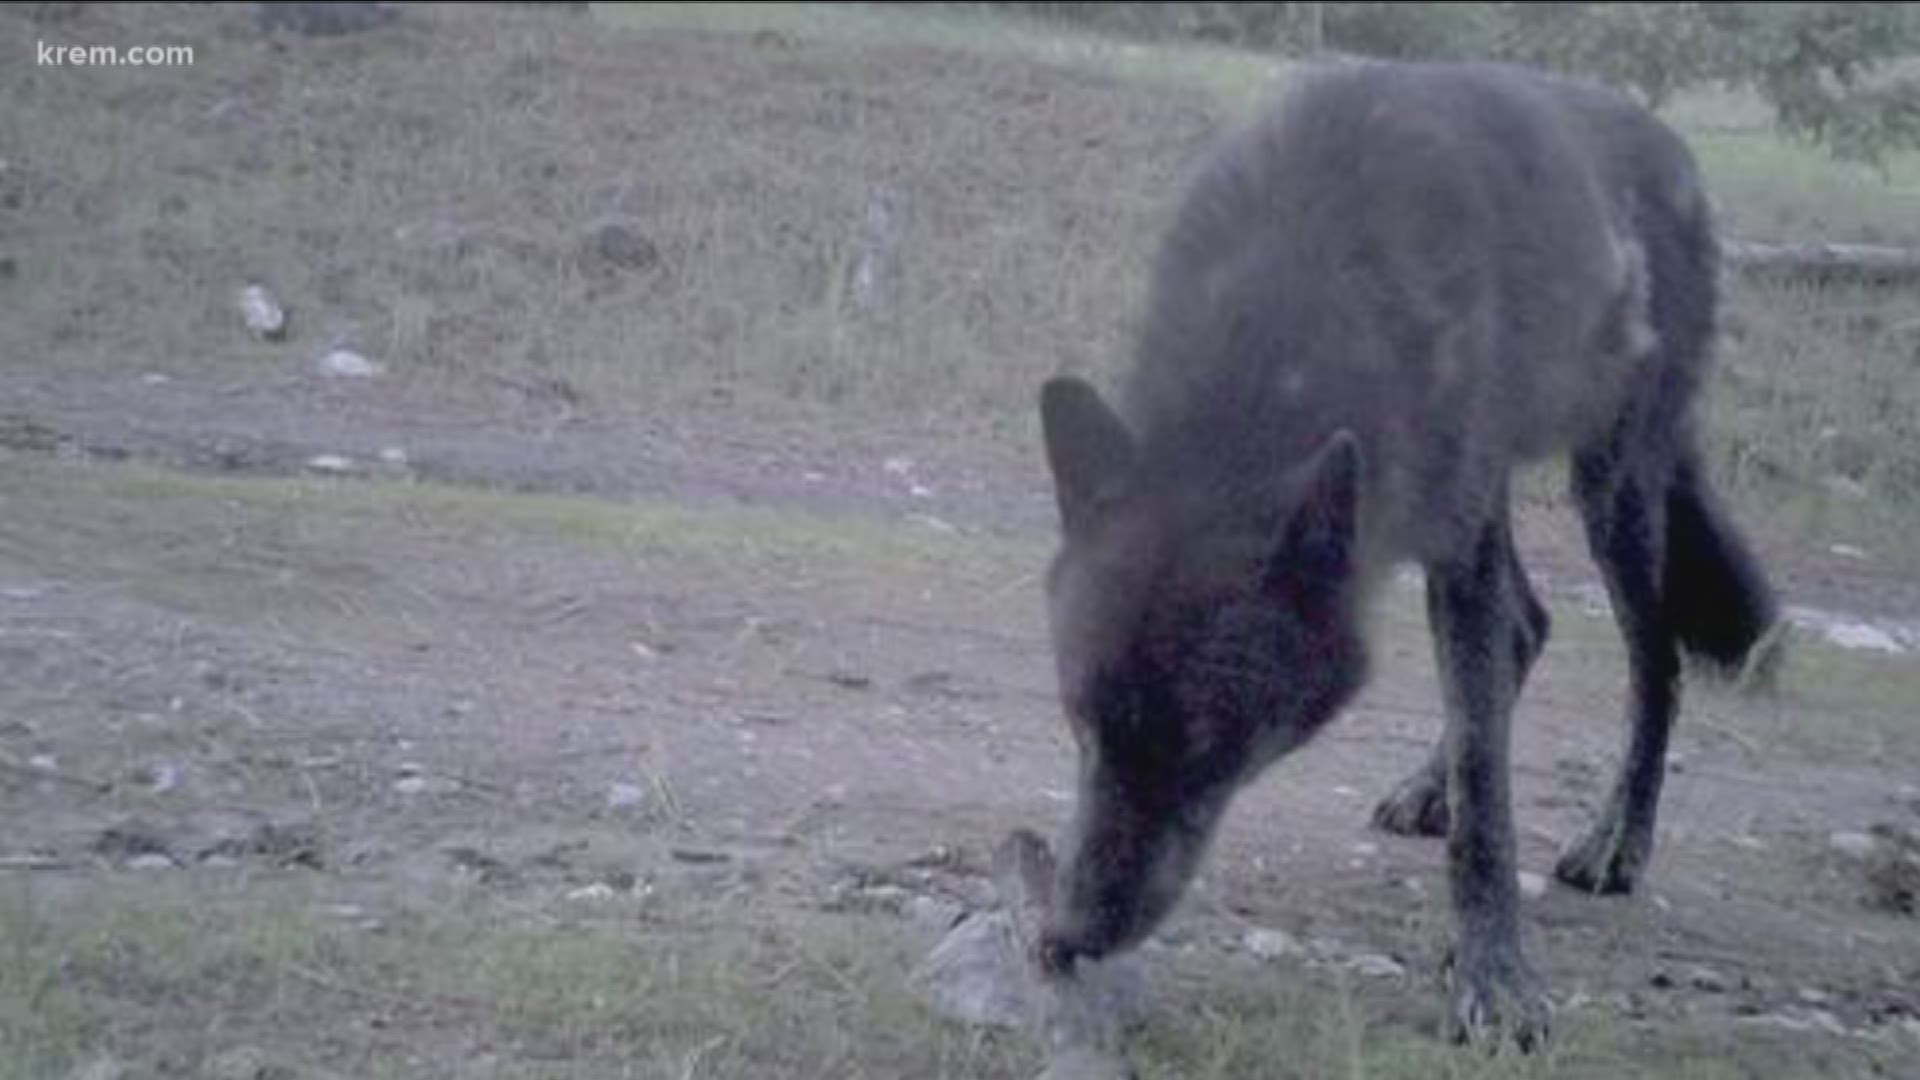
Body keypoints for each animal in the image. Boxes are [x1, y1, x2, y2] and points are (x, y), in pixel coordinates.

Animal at [1036, 58, 1781, 1045]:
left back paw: (1616, 843)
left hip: (1610, 493)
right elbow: (1483, 731)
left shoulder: (1460, 534)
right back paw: (1434, 791)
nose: (1071, 933)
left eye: (1209, 748)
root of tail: (1674, 148)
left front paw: (1495, 981)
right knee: (1528, 628)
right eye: (1082, 722)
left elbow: (1490, 800)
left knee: (1650, 661)